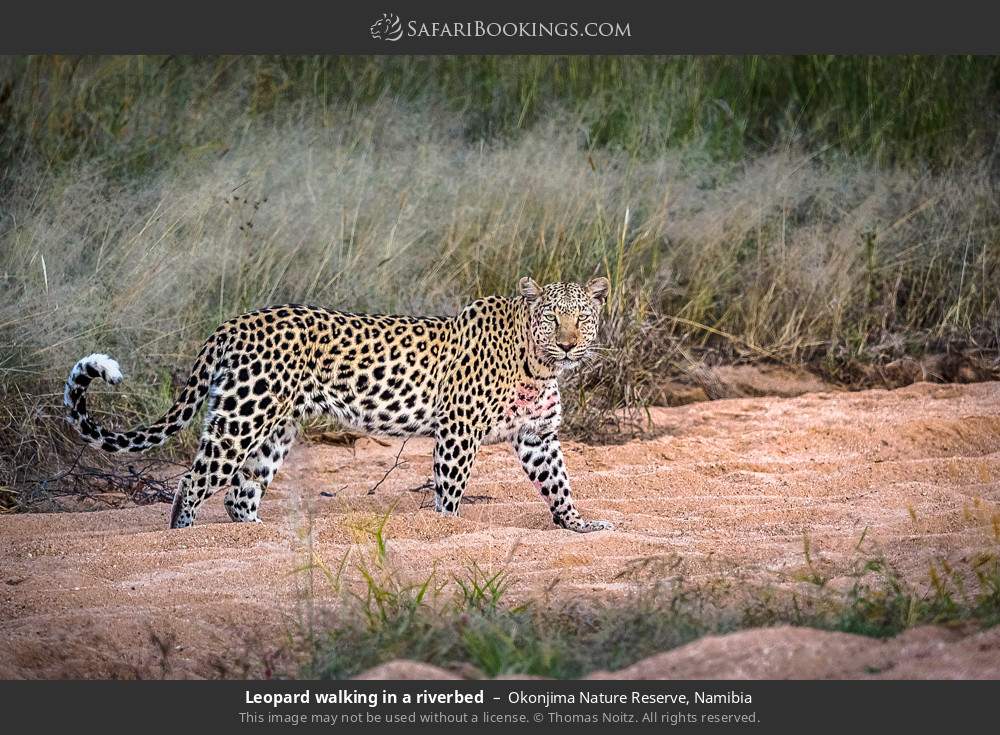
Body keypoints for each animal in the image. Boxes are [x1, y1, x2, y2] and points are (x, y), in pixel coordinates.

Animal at [64, 274, 616, 532]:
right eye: (551, 318)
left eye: (582, 318)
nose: (569, 344)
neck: (539, 365)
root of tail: (235, 322)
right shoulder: (457, 432)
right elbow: (451, 494)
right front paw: (447, 530)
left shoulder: (538, 437)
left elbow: (560, 485)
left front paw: (579, 525)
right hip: (242, 418)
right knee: (192, 485)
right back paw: (184, 540)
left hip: (275, 428)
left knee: (239, 493)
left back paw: (254, 538)